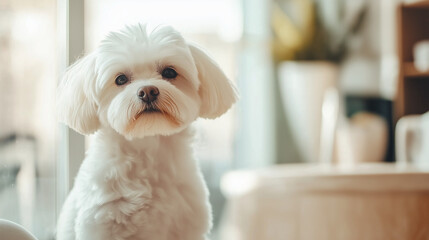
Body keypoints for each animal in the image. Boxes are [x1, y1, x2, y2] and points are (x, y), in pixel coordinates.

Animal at [56, 23, 237, 240]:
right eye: (121, 79)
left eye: (169, 72)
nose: (148, 91)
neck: (147, 147)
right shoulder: (100, 220)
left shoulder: (188, 224)